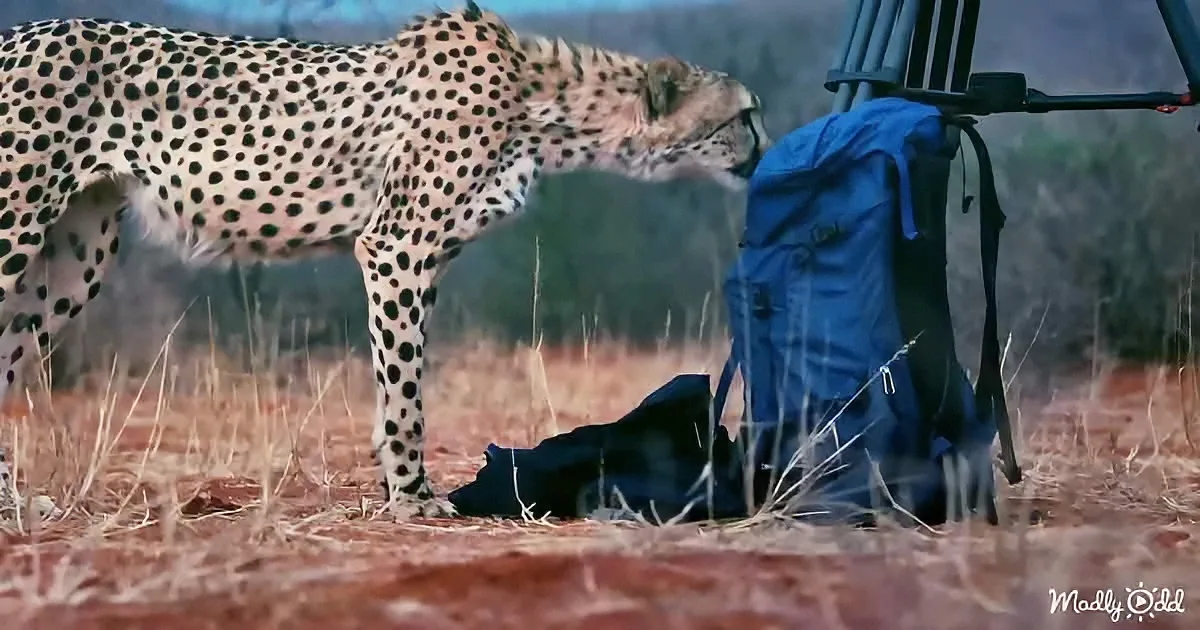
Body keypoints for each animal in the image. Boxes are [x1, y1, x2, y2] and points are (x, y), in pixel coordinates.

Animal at [0, 1, 769, 519]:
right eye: (744, 115)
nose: (766, 147)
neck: (541, 106)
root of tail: (22, 33)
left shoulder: (422, 256)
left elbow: (403, 375)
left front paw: (402, 486)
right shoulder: (397, 247)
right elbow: (405, 390)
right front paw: (412, 496)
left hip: (76, 255)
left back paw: (17, 505)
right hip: (18, 229)